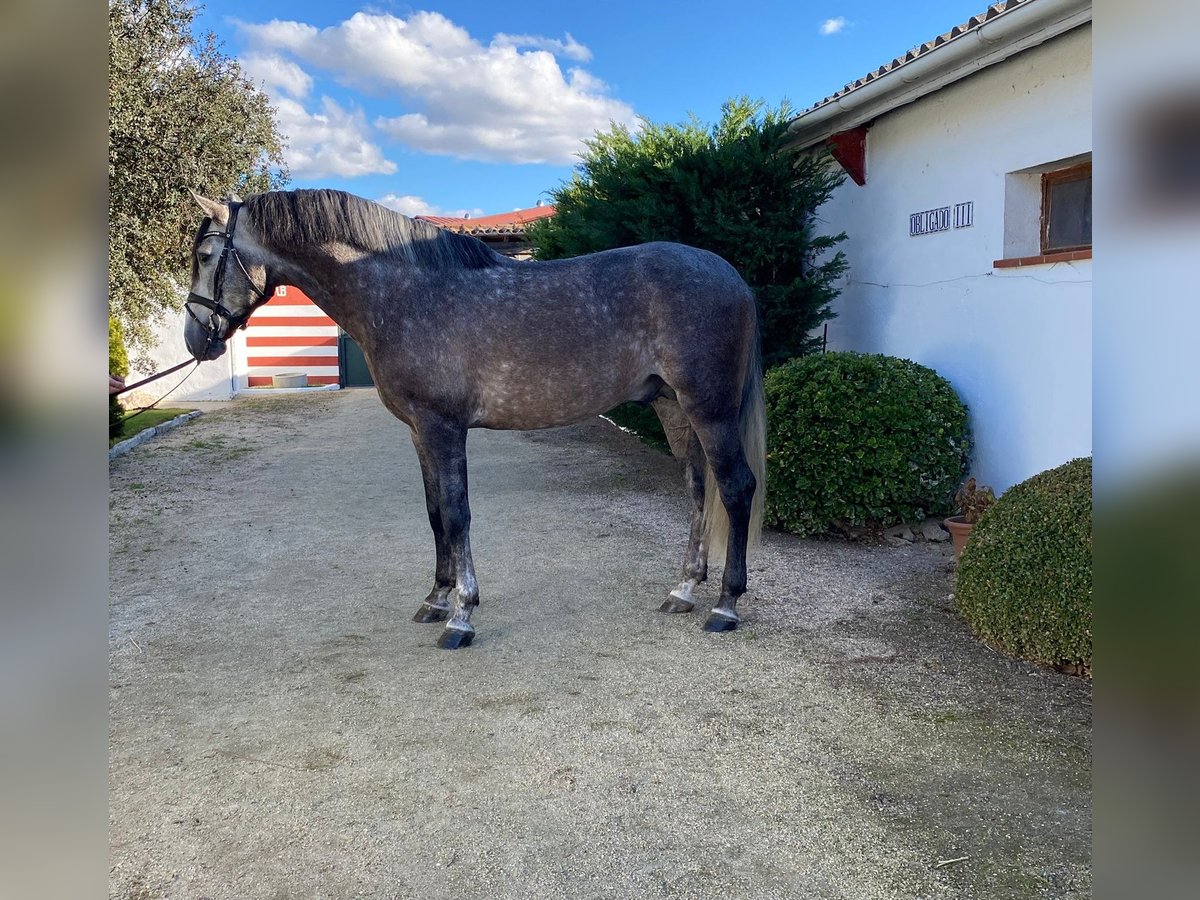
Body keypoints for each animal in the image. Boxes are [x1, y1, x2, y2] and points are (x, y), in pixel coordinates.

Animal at [184, 188, 768, 648]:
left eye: (208, 254)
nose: (195, 340)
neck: (405, 293)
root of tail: (732, 276)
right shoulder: (420, 432)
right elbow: (434, 514)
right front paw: (436, 599)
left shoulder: (444, 428)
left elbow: (458, 514)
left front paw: (461, 616)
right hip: (674, 408)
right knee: (698, 488)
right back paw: (683, 590)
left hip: (709, 409)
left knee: (736, 488)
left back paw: (725, 605)